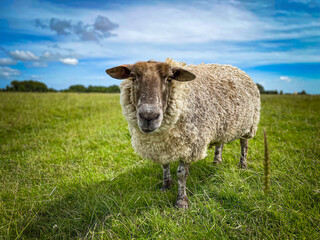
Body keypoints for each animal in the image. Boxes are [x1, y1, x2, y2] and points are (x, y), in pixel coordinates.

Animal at [106, 58, 262, 208]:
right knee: (220, 143)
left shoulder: (190, 145)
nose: (148, 116)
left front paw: (181, 202)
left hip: (249, 124)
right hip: (222, 124)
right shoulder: (163, 145)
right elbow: (164, 165)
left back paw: (242, 166)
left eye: (169, 78)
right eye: (133, 76)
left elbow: (182, 174)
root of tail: (235, 68)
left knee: (244, 145)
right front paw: (166, 186)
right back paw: (217, 162)